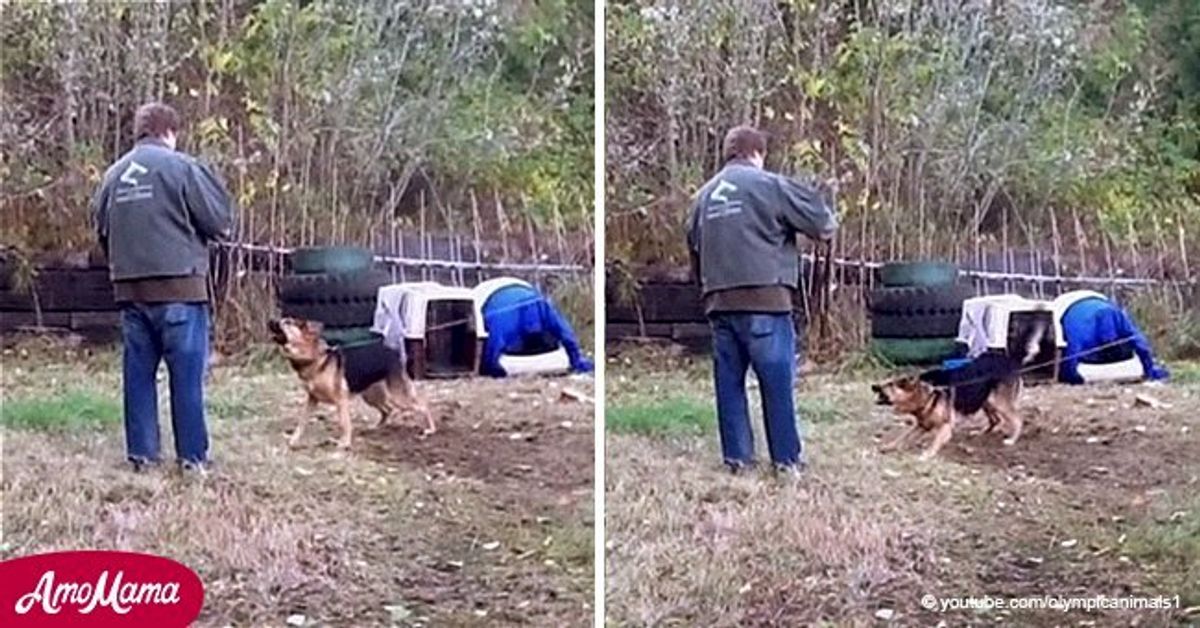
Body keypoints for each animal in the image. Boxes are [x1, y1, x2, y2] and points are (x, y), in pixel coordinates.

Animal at [268, 319, 436, 446]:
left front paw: (344, 443)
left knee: (423, 405)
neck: (314, 358)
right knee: (387, 409)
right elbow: (302, 422)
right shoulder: (311, 399)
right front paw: (294, 440)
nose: (270, 320)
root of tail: (392, 351)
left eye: (287, 322)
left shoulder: (340, 400)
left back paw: (430, 429)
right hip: (371, 396)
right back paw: (376, 426)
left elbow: (344, 423)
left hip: (398, 396)